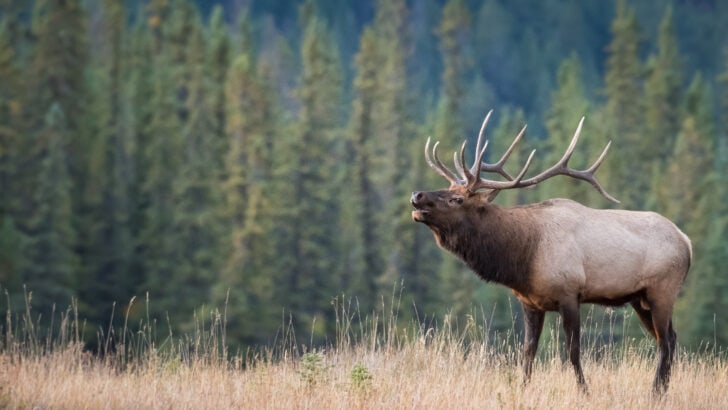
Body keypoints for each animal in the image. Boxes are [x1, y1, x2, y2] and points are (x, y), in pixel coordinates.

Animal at [410, 110, 692, 394]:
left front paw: (584, 391)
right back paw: (661, 390)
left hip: (662, 291)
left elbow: (573, 351)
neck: (523, 256)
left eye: (456, 199)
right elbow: (528, 351)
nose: (417, 195)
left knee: (666, 340)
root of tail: (687, 242)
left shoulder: (569, 293)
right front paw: (523, 388)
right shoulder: (529, 301)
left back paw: (656, 392)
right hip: (639, 299)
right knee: (670, 338)